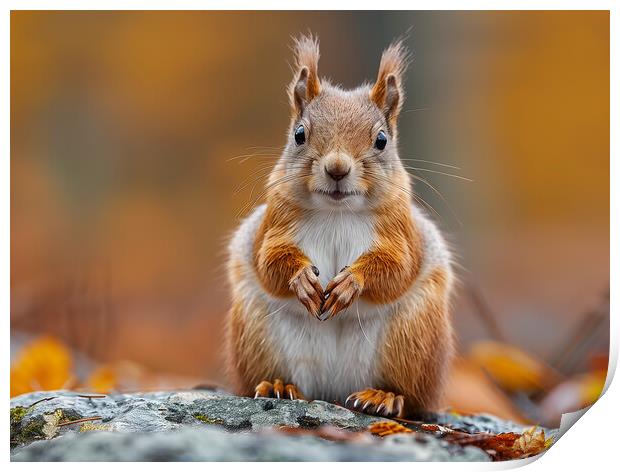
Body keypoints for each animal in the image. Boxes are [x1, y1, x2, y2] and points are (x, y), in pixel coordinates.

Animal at [225, 36, 452, 416]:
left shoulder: (400, 232)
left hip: (413, 337)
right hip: (256, 334)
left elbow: (397, 267)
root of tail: (332, 391)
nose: (337, 168)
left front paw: (352, 282)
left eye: (381, 140)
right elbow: (269, 260)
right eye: (299, 134)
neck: (337, 212)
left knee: (410, 396)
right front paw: (301, 278)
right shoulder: (274, 224)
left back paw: (383, 396)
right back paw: (278, 386)